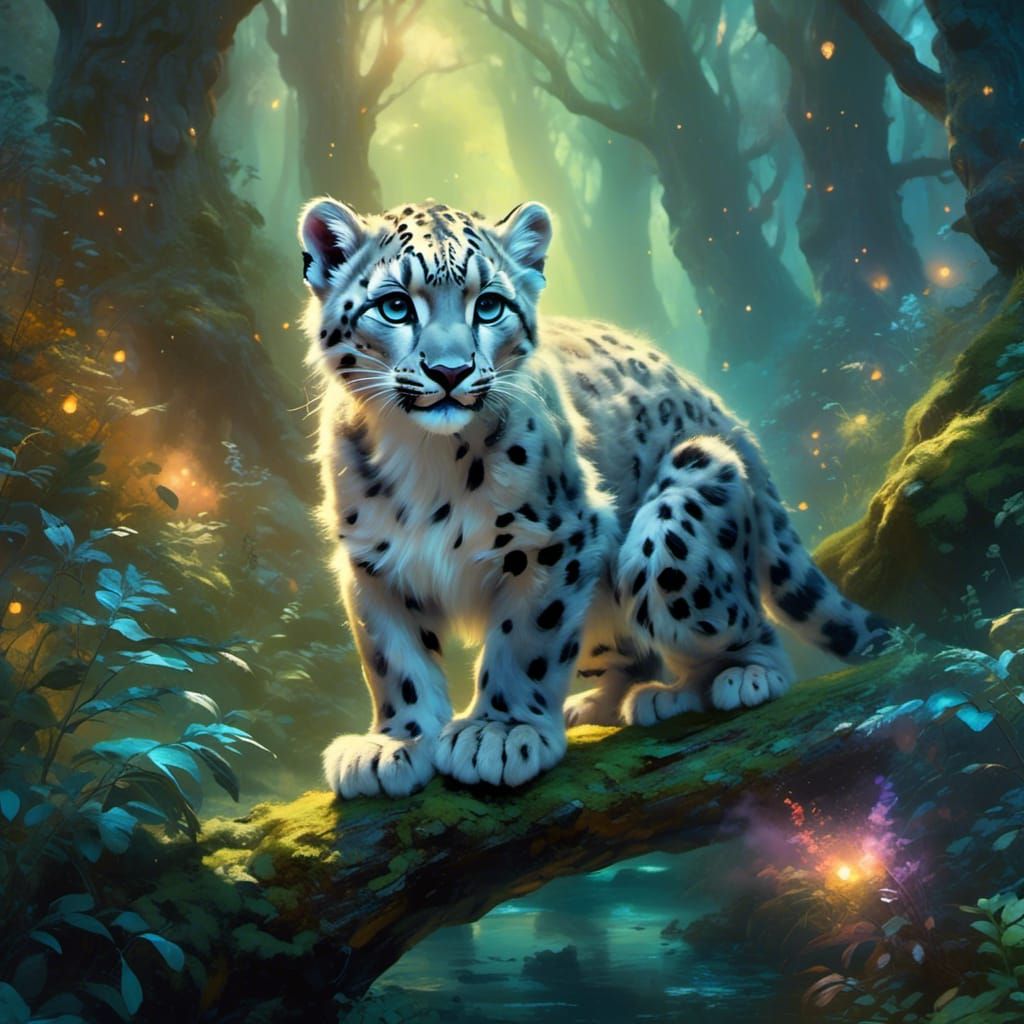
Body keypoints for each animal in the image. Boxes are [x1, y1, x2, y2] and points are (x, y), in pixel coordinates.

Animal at [298, 196, 887, 799]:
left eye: (489, 306)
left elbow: (526, 640)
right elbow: (394, 658)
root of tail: (724, 413)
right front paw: (394, 744)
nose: (449, 371)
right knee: (633, 652)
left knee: (746, 625)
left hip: (675, 536)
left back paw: (730, 679)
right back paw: (600, 704)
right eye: (394, 306)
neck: (426, 458)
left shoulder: (554, 538)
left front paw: (499, 732)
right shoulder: (371, 560)